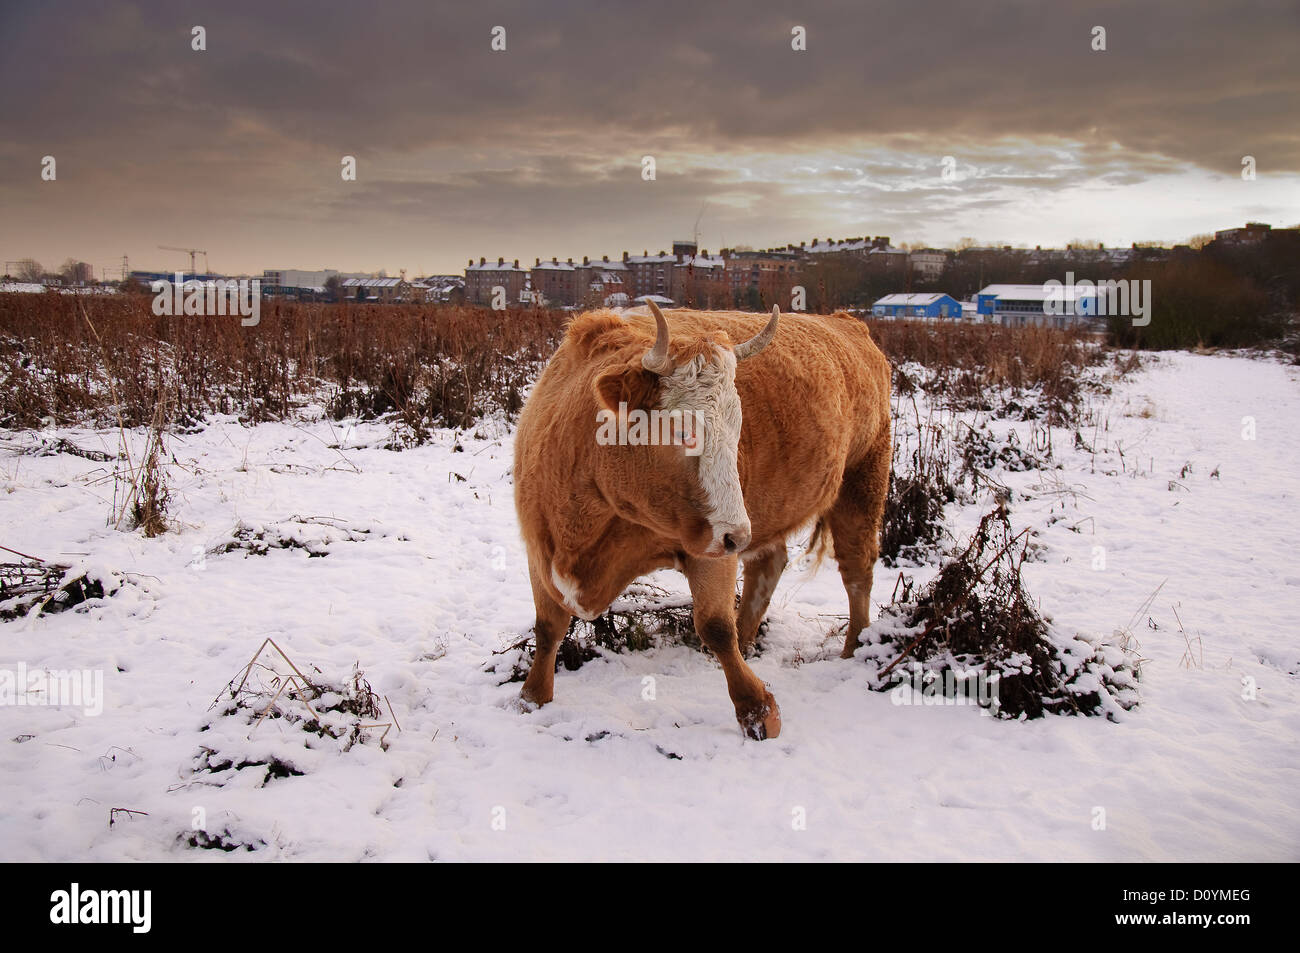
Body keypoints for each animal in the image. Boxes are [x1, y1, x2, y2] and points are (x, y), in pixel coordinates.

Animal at [513, 301, 892, 739]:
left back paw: (854, 646)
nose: (739, 535)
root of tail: (846, 322)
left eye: (737, 427)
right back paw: (750, 638)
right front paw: (532, 696)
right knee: (769, 564)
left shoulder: (712, 546)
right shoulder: (537, 546)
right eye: (681, 430)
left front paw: (757, 710)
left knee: (856, 569)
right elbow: (547, 626)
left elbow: (715, 626)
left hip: (863, 480)